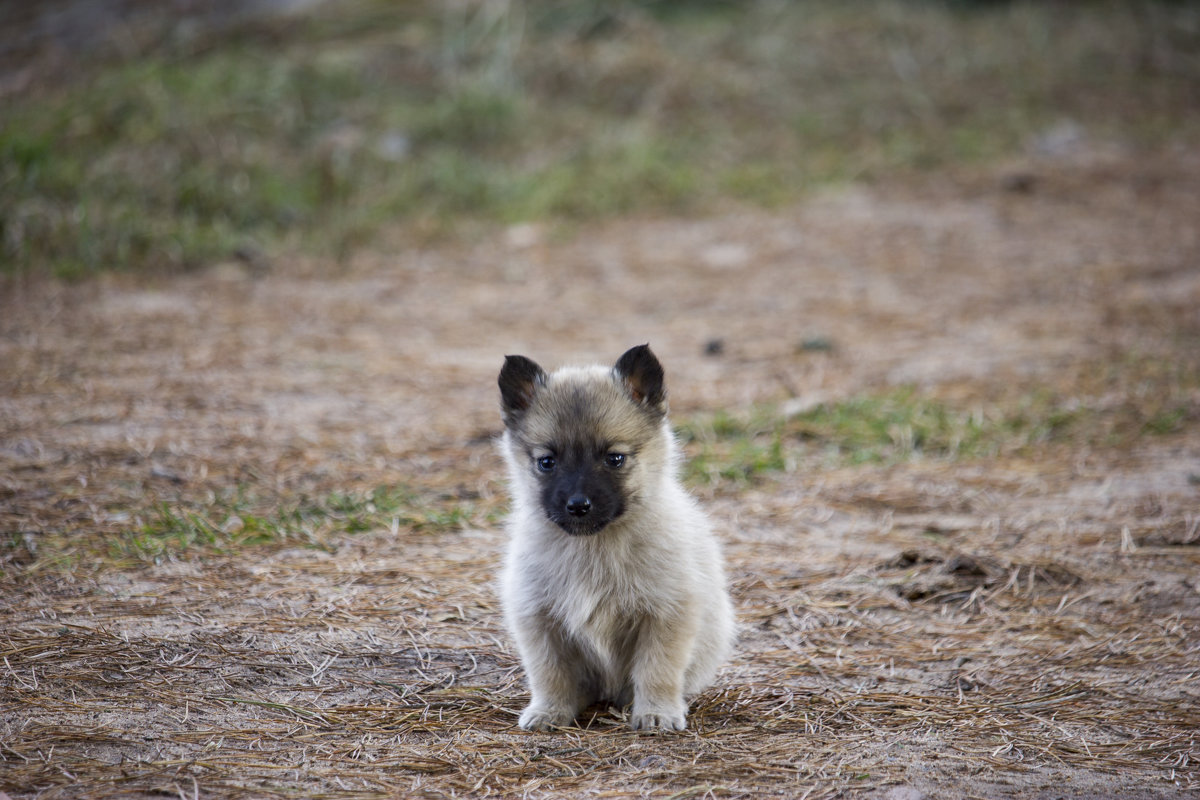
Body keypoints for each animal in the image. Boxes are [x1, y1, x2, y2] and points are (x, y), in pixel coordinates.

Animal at [494, 345, 729, 734]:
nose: (578, 506)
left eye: (614, 458)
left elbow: (657, 669)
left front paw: (657, 712)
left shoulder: (666, 615)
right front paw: (549, 711)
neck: (593, 548)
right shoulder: (539, 619)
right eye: (547, 462)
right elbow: (549, 673)